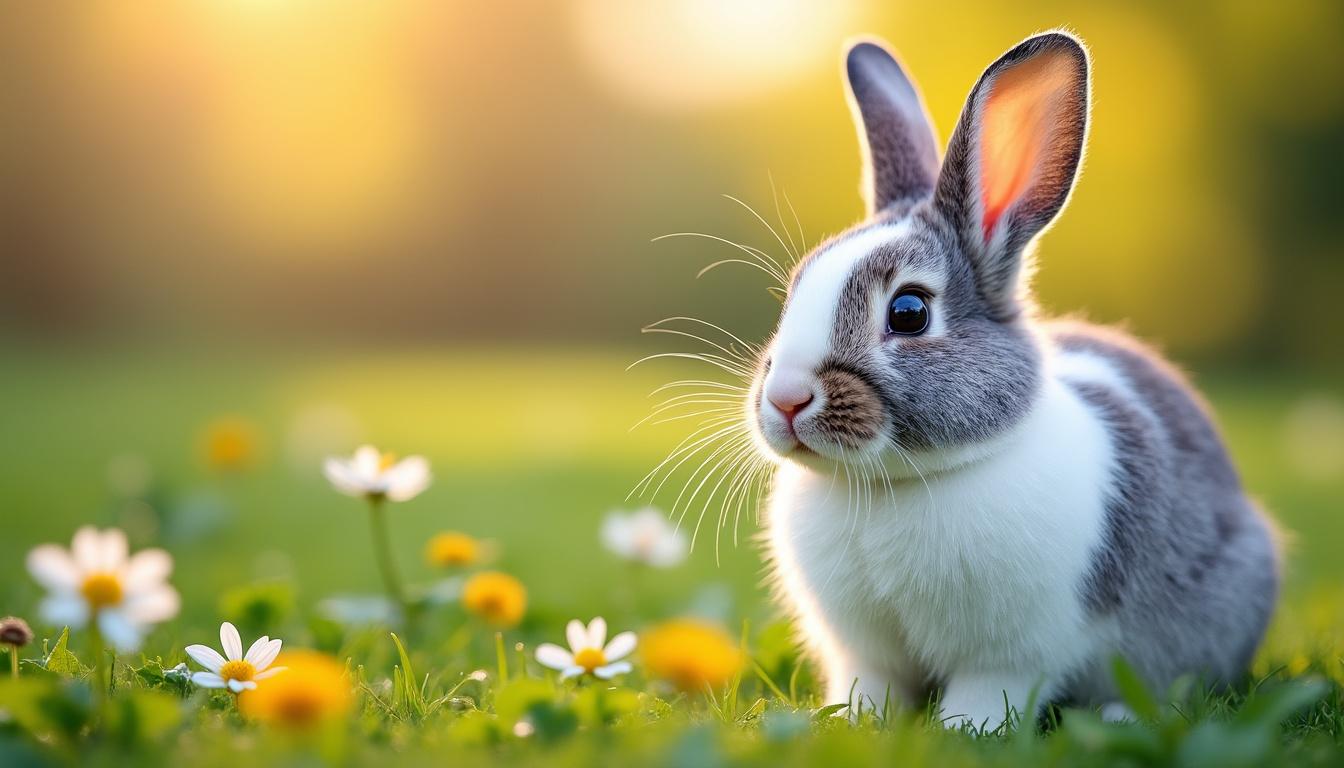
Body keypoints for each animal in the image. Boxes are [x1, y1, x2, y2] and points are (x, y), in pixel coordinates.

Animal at [746, 31, 1280, 729]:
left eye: (909, 312)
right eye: (794, 292)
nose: (786, 400)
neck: (891, 486)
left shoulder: (1013, 654)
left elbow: (987, 691)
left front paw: (962, 731)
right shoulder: (865, 653)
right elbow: (871, 687)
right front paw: (853, 722)